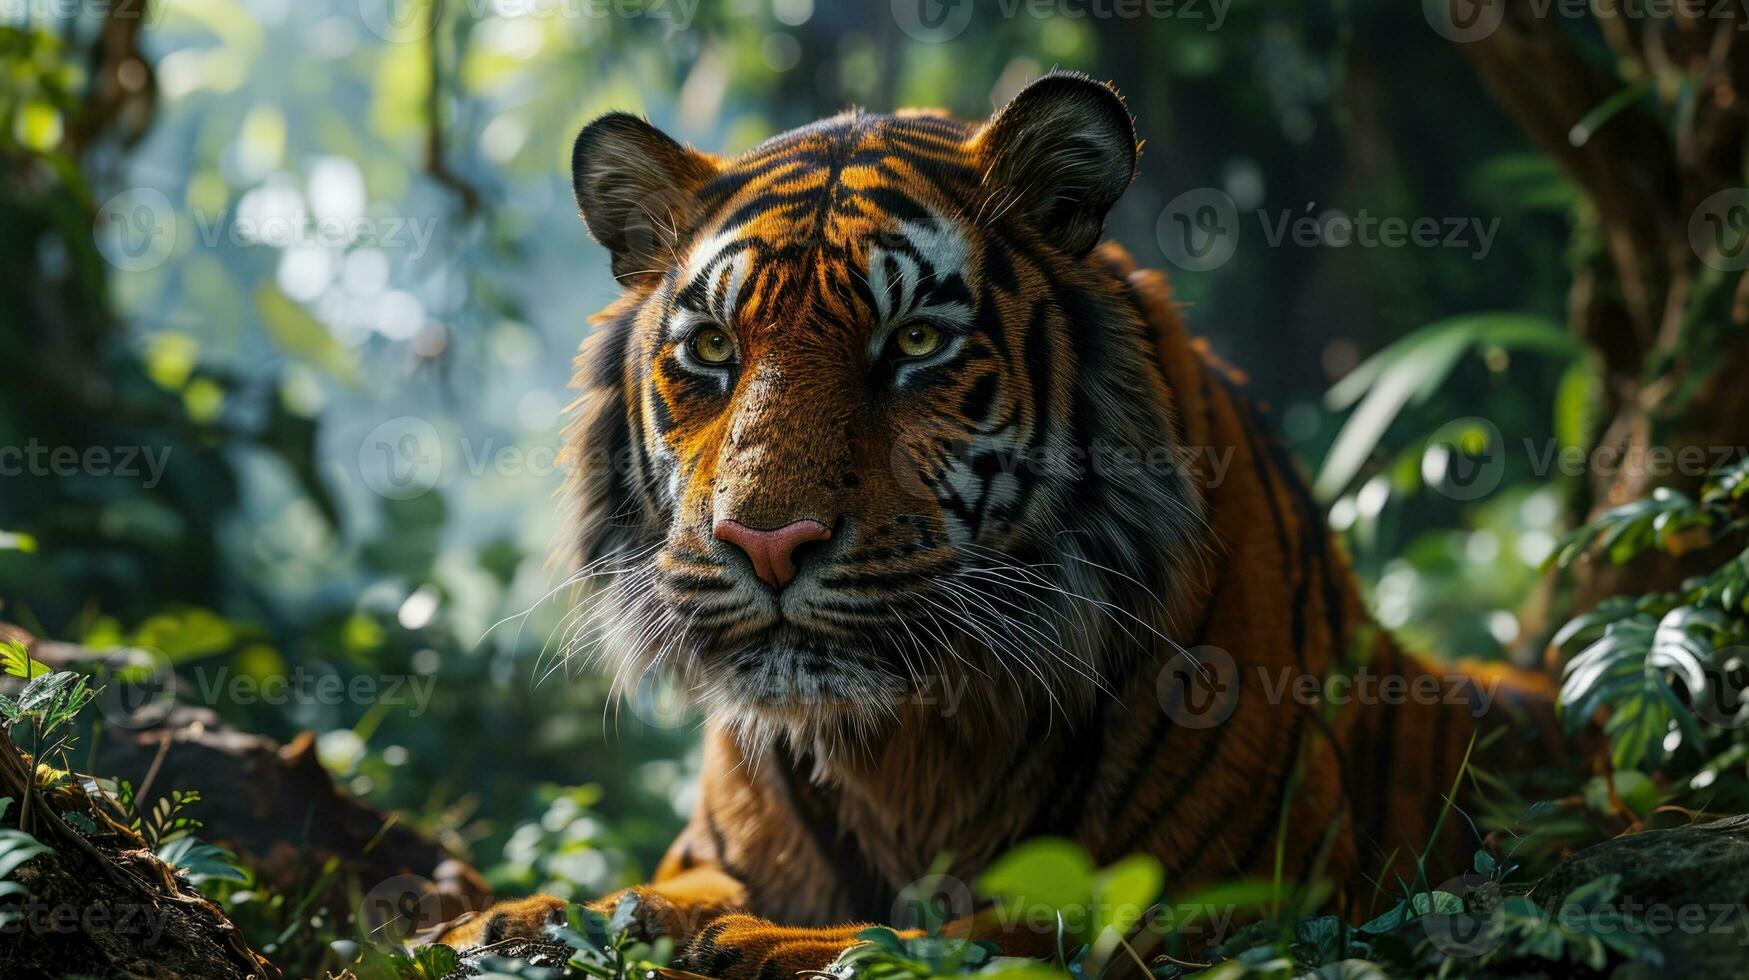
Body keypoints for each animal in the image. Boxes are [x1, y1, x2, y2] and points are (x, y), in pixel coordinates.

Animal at [440, 72, 1560, 973]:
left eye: (916, 342)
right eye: (713, 347)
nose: (766, 546)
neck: (902, 743)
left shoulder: (1230, 897)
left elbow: (976, 930)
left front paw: (758, 944)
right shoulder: (714, 854)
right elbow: (644, 893)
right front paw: (508, 922)